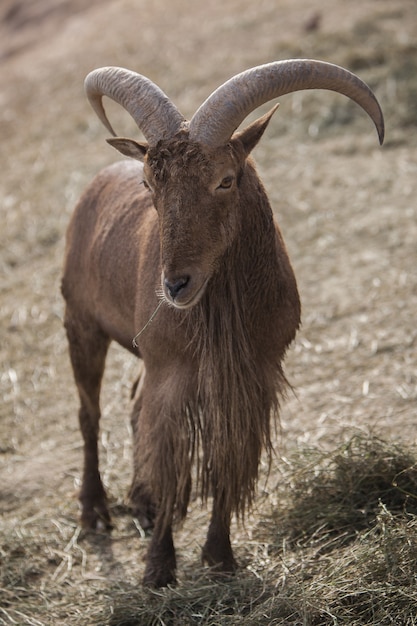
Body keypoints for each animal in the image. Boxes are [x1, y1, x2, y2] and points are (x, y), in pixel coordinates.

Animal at [61, 58, 384, 584]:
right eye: (150, 185)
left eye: (225, 180)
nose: (175, 285)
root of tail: (94, 186)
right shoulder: (173, 376)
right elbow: (172, 460)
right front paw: (159, 570)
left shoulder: (253, 377)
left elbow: (230, 458)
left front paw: (220, 557)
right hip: (81, 325)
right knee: (90, 414)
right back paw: (95, 512)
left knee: (132, 403)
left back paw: (140, 504)